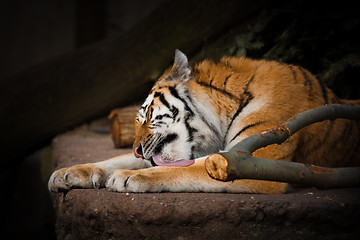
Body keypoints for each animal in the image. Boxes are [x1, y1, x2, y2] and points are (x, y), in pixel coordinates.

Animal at [48, 49, 360, 194]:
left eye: (147, 116)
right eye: (136, 120)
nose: (137, 150)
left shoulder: (252, 161)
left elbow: (183, 169)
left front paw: (127, 177)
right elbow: (113, 160)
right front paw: (67, 173)